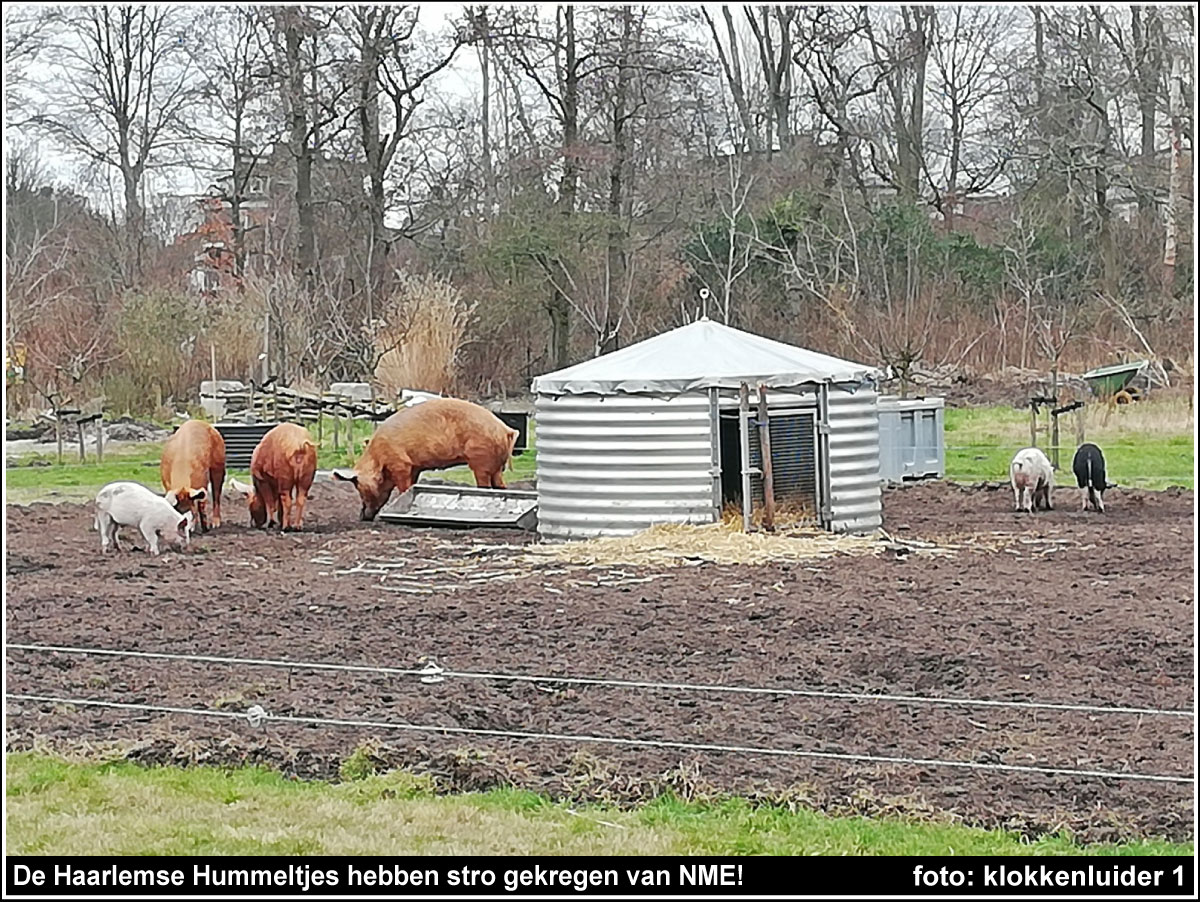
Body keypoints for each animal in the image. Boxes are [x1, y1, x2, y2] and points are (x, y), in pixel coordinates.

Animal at [333, 395, 516, 518]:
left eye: (360, 490)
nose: (362, 517)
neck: (379, 459)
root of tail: (506, 430)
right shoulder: (414, 468)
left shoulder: (401, 464)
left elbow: (404, 487)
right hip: (496, 466)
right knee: (501, 487)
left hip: (481, 461)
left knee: (486, 486)